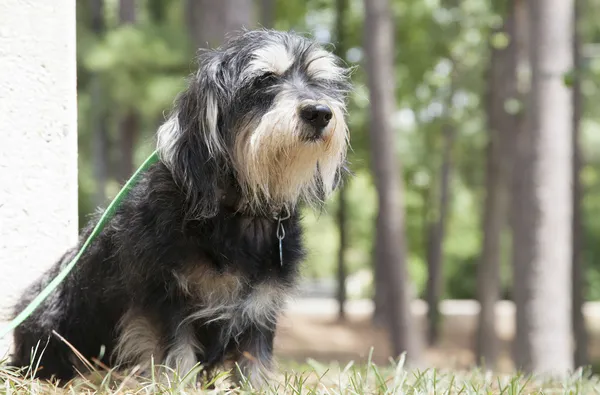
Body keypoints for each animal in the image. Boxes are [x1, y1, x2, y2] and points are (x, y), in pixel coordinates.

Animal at [10, 29, 352, 388]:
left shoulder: (259, 312)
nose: (319, 112)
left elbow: (254, 367)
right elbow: (176, 358)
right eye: (265, 79)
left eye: (318, 82)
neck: (236, 213)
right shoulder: (164, 303)